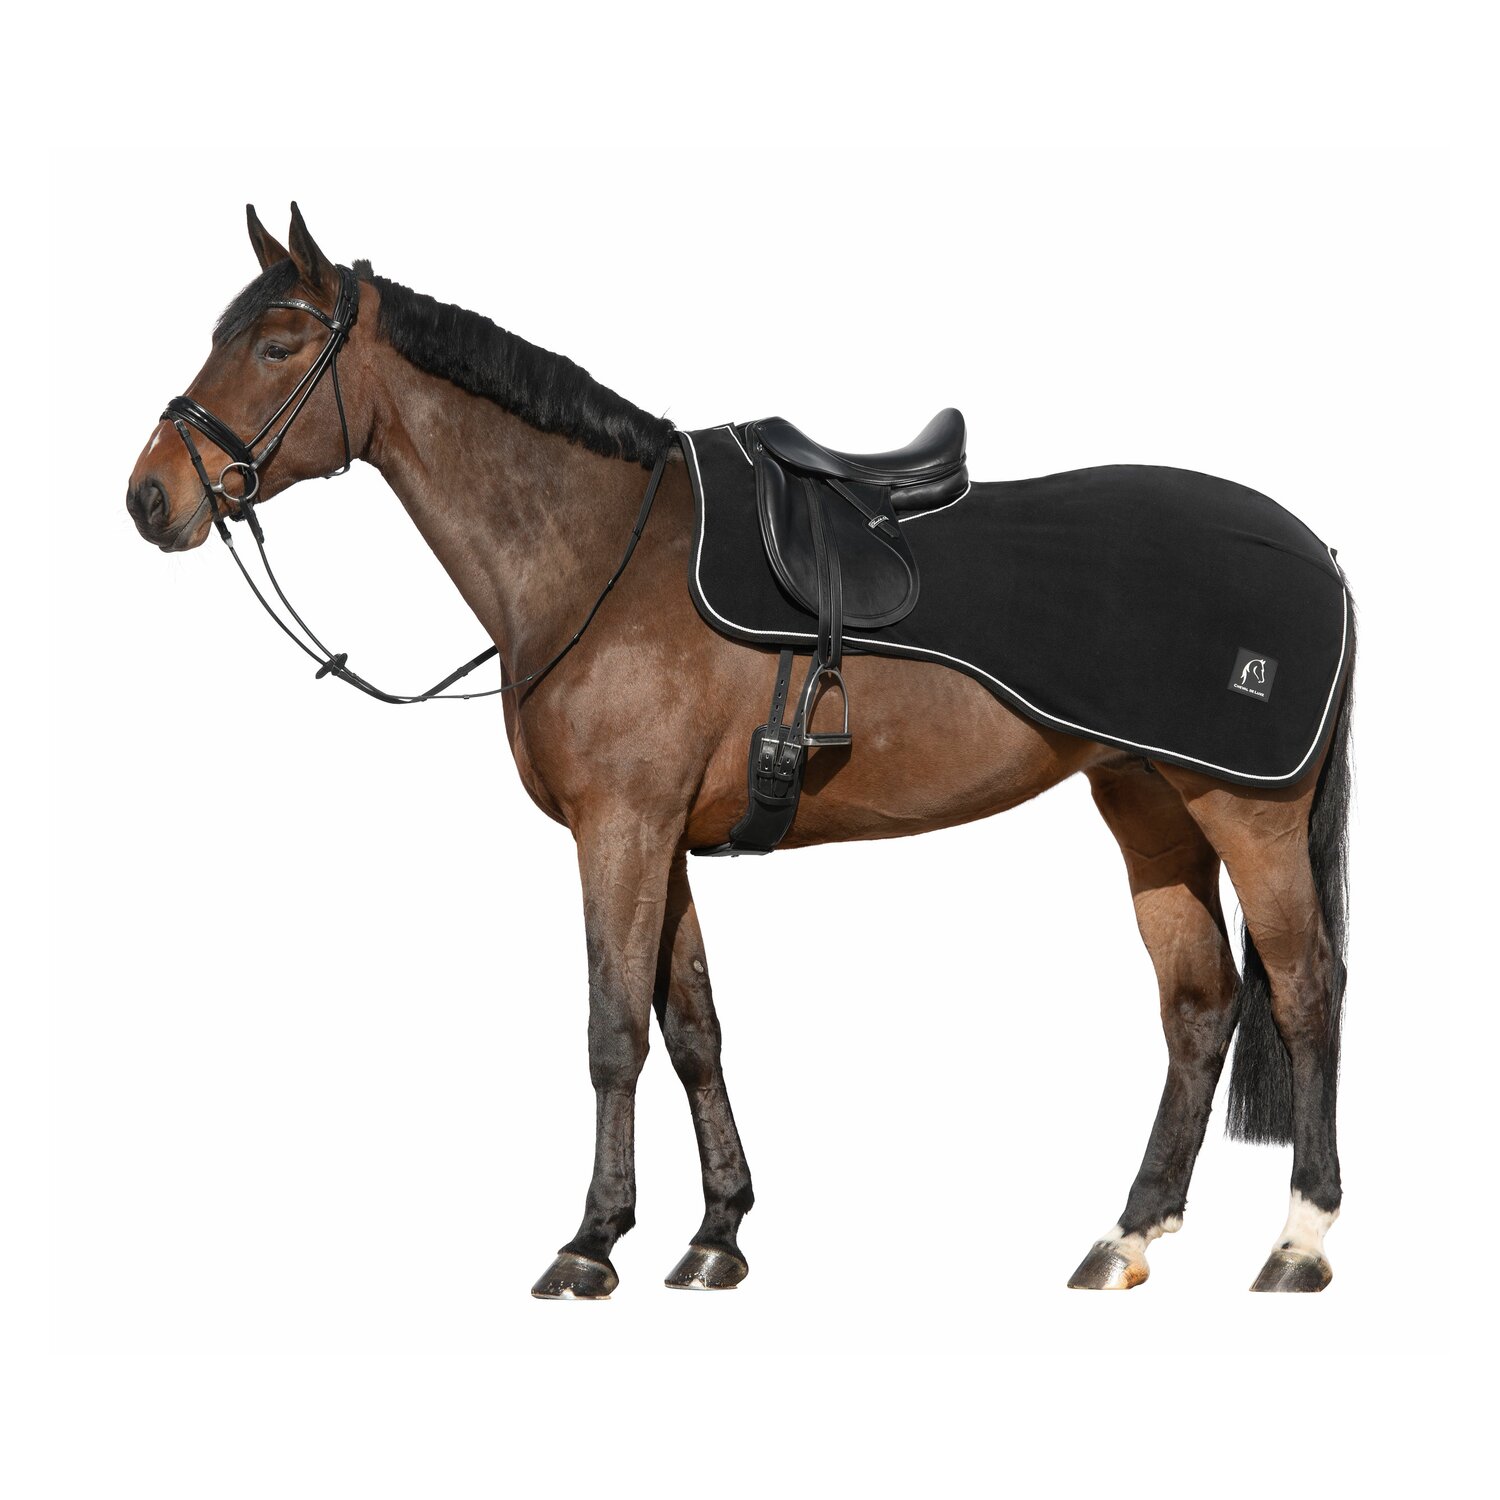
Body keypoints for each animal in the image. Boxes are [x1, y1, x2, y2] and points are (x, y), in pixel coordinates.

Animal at [125, 204, 1354, 1298]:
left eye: (277, 347)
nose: (149, 497)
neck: (603, 553)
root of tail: (1319, 552)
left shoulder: (621, 829)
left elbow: (614, 1029)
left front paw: (590, 1243)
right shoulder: (658, 836)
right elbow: (694, 1028)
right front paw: (716, 1232)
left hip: (1248, 812)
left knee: (1305, 990)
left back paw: (1299, 1242)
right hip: (1148, 806)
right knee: (1198, 1005)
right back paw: (1128, 1235)